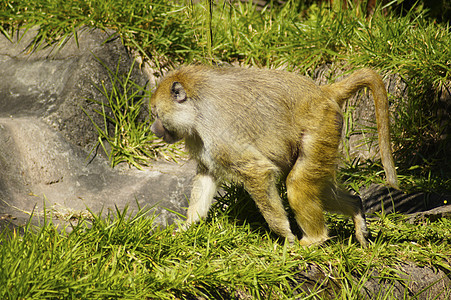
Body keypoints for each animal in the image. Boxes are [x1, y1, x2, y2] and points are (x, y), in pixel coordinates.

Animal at [150, 65, 398, 246]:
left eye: (156, 115)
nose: (153, 129)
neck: (197, 106)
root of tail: (321, 93)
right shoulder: (200, 138)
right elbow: (207, 175)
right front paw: (188, 227)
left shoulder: (218, 131)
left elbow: (257, 171)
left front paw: (286, 236)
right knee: (320, 189)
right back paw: (356, 208)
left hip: (321, 125)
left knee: (297, 184)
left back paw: (313, 240)